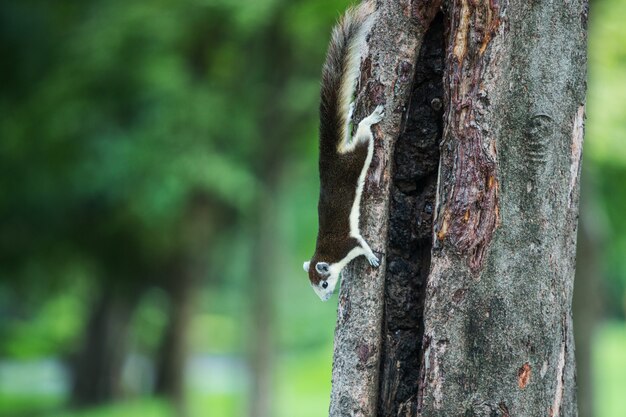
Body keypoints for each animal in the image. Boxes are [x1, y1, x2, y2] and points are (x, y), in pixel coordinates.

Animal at [302, 2, 382, 302]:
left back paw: (368, 120)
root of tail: (329, 159)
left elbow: (362, 243)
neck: (327, 253)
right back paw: (349, 109)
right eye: (313, 288)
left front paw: (372, 257)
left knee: (363, 137)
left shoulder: (346, 243)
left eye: (324, 283)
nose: (325, 300)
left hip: (355, 158)